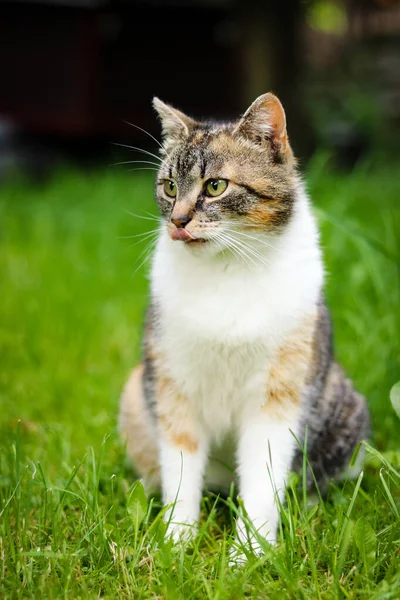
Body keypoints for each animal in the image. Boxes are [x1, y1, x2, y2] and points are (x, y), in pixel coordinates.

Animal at [118, 91, 368, 560]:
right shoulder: (173, 386)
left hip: (346, 409)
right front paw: (177, 544)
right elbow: (182, 471)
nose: (177, 222)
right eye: (170, 186)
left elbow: (263, 480)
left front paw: (248, 555)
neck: (227, 268)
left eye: (216, 186)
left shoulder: (278, 395)